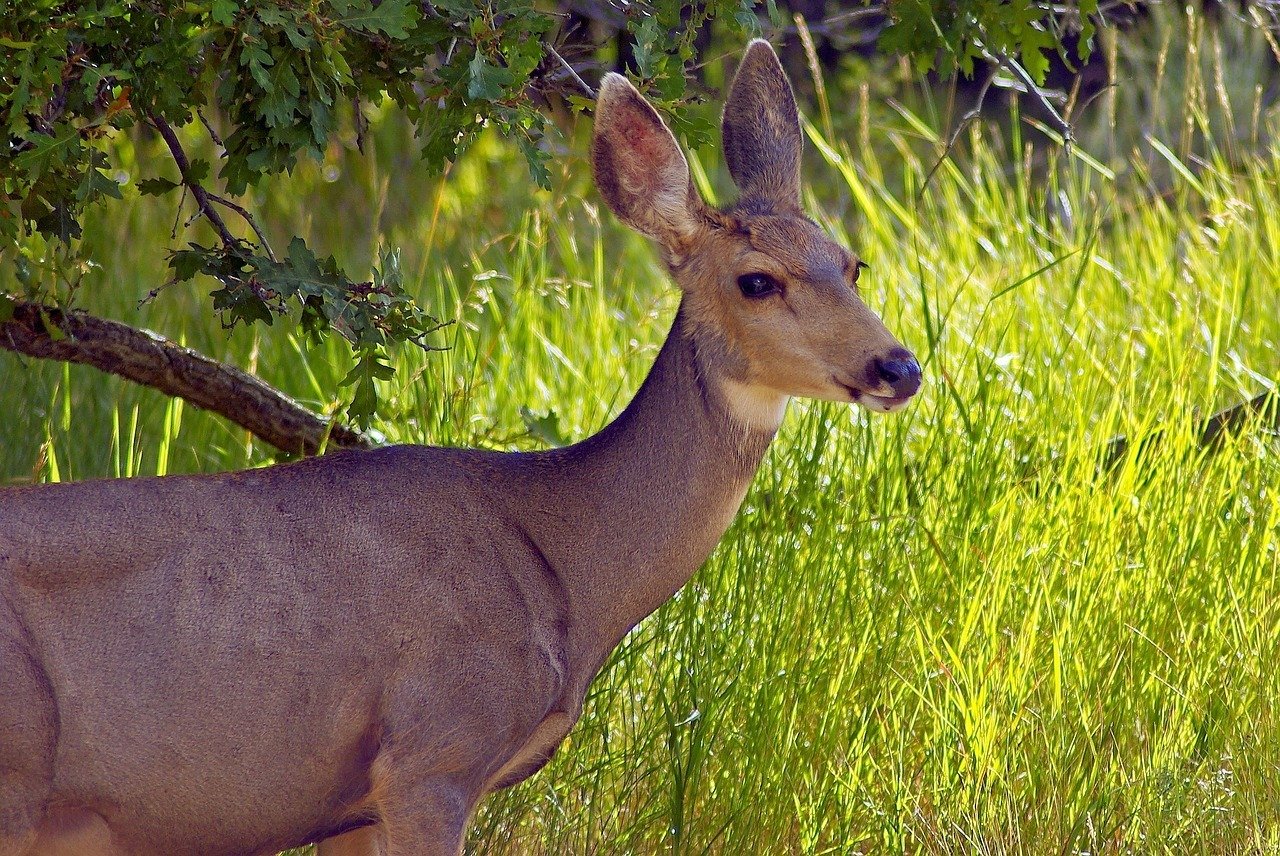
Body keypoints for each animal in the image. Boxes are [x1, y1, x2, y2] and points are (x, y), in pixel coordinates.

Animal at [0, 39, 921, 854]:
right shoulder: (433, 750)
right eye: (756, 280)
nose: (899, 366)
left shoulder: (351, 805)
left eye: (853, 263)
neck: (566, 563)